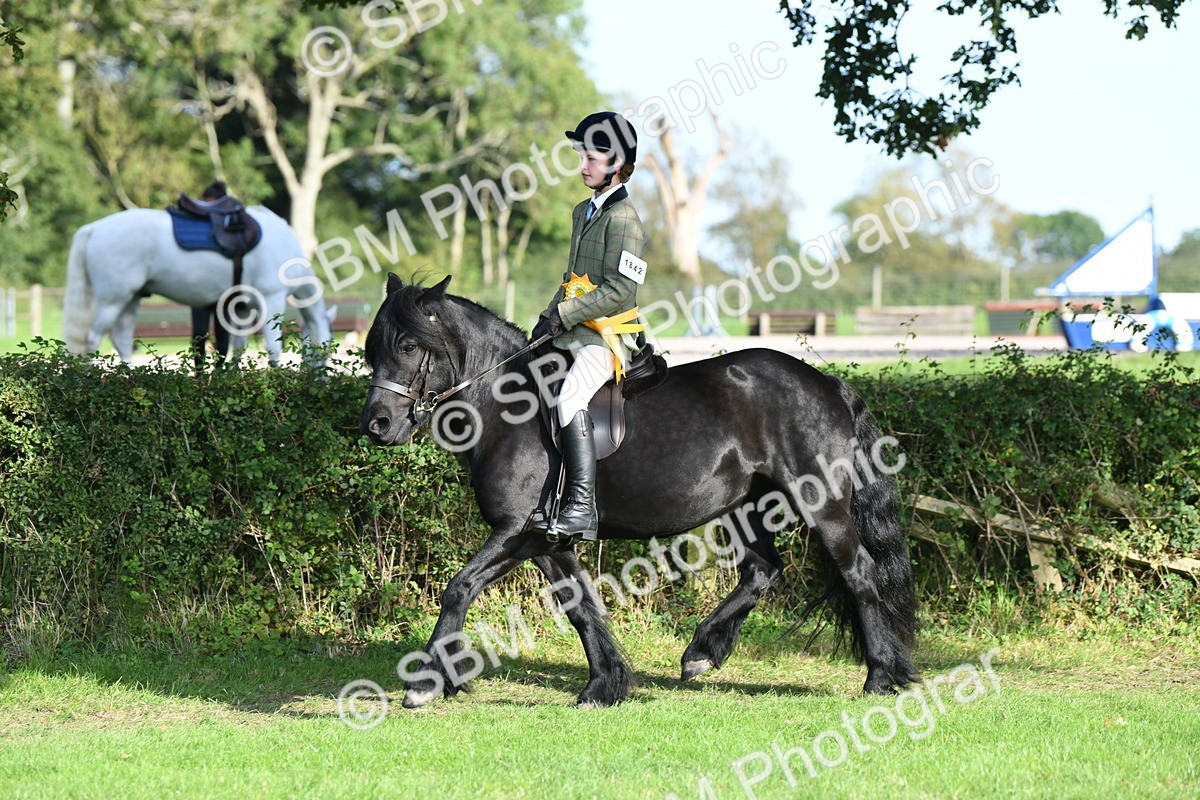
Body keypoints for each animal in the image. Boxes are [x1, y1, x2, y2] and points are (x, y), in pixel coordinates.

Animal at [62, 206, 334, 366]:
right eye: (326, 349)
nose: (319, 381)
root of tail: (93, 228)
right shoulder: (272, 299)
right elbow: (274, 350)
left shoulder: (242, 308)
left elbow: (239, 348)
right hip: (112, 300)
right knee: (92, 341)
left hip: (130, 299)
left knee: (121, 340)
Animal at [359, 274, 918, 708]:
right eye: (372, 349)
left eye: (408, 346)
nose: (377, 425)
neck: (508, 406)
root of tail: (827, 384)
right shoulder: (544, 539)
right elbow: (582, 607)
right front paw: (605, 685)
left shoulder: (515, 531)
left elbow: (459, 588)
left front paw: (425, 683)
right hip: (747, 505)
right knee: (762, 569)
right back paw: (702, 653)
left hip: (819, 503)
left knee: (859, 573)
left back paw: (879, 677)